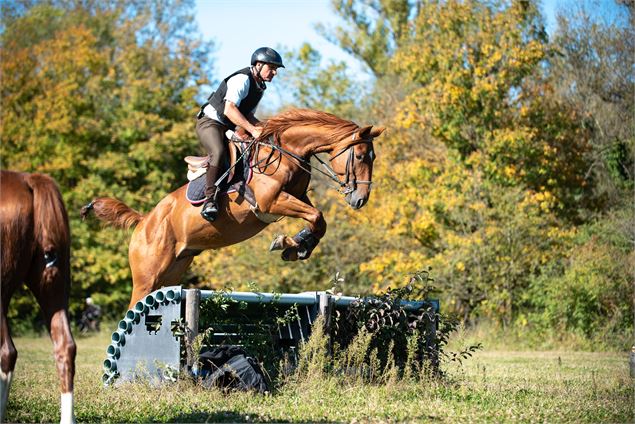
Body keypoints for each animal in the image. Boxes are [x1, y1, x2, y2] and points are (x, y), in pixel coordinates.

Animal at [82, 109, 386, 308]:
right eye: (361, 156)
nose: (360, 199)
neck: (285, 151)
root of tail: (145, 221)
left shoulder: (296, 197)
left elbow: (318, 221)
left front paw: (297, 246)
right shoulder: (271, 201)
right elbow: (317, 216)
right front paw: (288, 244)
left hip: (171, 272)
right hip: (147, 275)